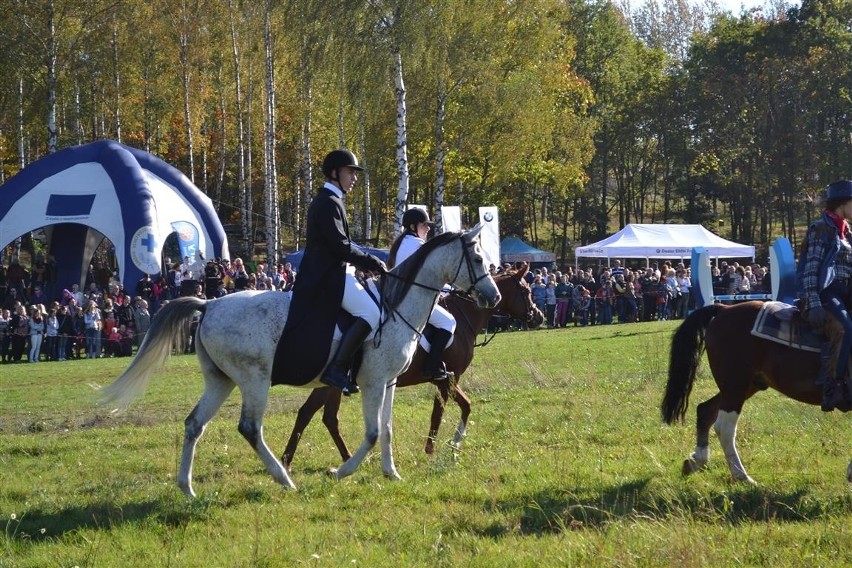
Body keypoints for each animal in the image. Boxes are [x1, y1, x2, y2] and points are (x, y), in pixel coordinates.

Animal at [100, 226, 500, 496]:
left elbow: (386, 429)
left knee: (194, 424)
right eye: (478, 258)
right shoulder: (373, 382)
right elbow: (372, 433)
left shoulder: (387, 383)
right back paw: (284, 478)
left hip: (220, 381)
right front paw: (341, 471)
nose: (493, 297)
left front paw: (391, 473)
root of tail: (210, 303)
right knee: (250, 428)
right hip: (255, 380)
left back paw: (187, 487)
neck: (395, 307)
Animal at [282, 264, 544, 468]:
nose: (539, 317)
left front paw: (446, 445)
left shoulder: (445, 380)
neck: (464, 317)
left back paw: (342, 458)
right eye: (526, 290)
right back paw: (290, 461)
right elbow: (448, 410)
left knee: (325, 417)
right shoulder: (447, 379)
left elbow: (453, 408)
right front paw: (441, 447)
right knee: (311, 414)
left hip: (332, 384)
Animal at [664, 302, 852, 484]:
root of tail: (725, 308)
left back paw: (696, 461)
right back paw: (742, 476)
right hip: (735, 387)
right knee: (724, 428)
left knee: (705, 410)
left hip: (743, 386)